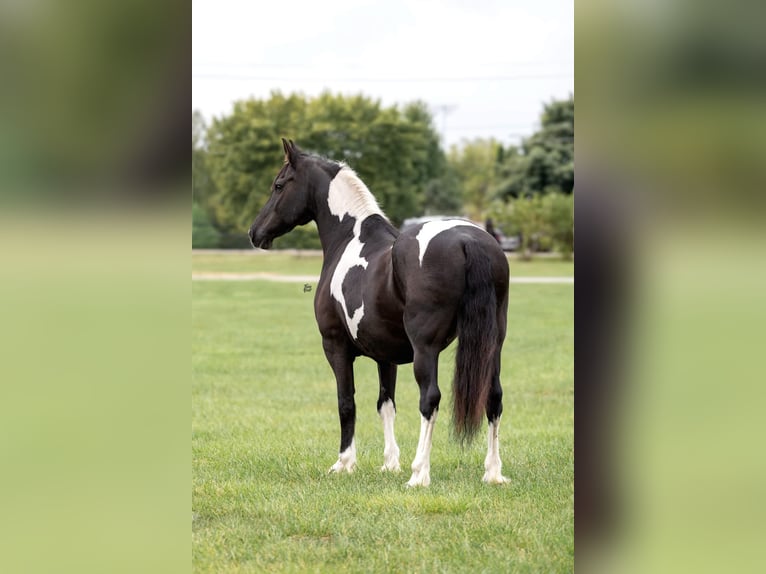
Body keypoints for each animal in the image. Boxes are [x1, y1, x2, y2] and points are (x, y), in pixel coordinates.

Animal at [250, 140, 510, 486]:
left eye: (279, 185)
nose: (255, 233)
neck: (349, 238)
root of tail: (468, 240)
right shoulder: (386, 355)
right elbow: (386, 404)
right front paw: (389, 463)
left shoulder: (335, 346)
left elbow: (346, 403)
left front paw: (344, 463)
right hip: (492, 343)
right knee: (493, 397)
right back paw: (493, 472)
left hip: (426, 349)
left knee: (430, 399)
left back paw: (419, 474)